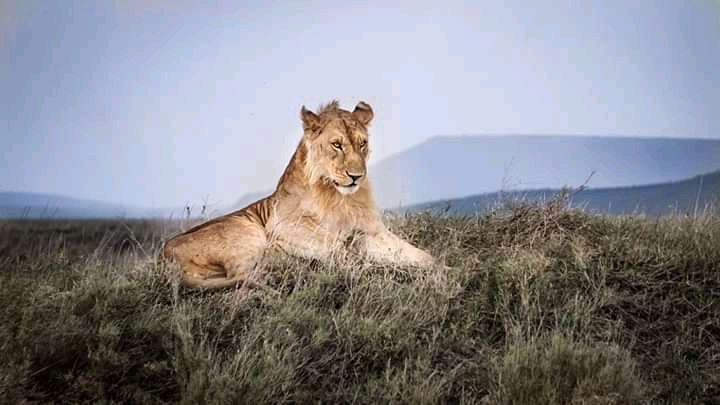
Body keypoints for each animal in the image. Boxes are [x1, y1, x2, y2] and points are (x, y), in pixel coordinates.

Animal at [161, 100, 441, 290]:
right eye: (337, 145)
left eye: (363, 143)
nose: (356, 176)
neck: (340, 198)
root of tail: (165, 252)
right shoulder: (282, 230)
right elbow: (342, 252)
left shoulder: (373, 232)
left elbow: (425, 257)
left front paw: (443, 271)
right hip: (247, 230)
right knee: (241, 275)